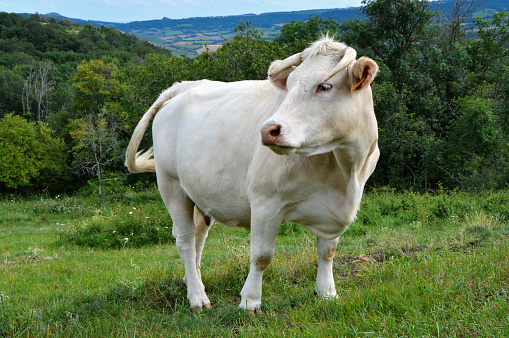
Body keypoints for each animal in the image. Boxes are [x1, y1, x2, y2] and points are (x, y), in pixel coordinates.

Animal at [124, 37, 378, 314]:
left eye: (324, 85)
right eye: (289, 86)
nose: (269, 130)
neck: (343, 173)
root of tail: (184, 86)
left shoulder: (331, 208)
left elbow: (328, 251)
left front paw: (327, 293)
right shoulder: (265, 202)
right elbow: (262, 255)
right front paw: (250, 301)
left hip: (198, 194)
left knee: (197, 238)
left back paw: (191, 281)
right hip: (171, 185)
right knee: (184, 240)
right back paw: (197, 297)